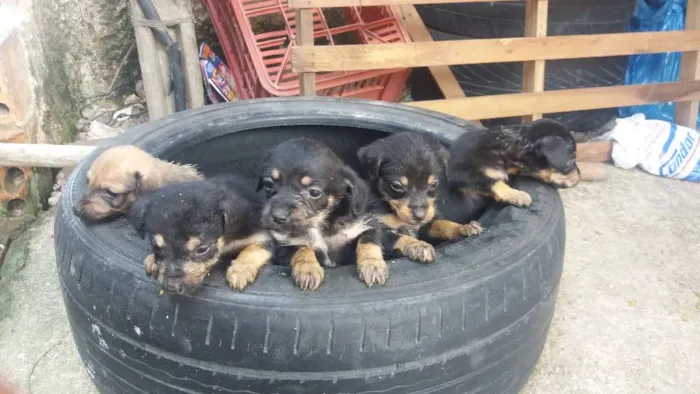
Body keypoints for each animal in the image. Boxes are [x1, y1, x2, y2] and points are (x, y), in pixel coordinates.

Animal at [129, 174, 274, 294]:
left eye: (202, 250)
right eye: (156, 246)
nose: (172, 287)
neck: (226, 239)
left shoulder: (264, 235)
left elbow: (253, 250)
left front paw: (240, 270)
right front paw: (152, 260)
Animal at [258, 139, 388, 290]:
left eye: (314, 192)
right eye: (268, 184)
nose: (278, 217)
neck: (318, 223)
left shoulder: (368, 224)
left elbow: (368, 243)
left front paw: (373, 266)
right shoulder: (284, 244)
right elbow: (301, 247)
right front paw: (307, 269)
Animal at [358, 132, 484, 264]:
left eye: (433, 184)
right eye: (396, 186)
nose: (419, 216)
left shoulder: (427, 223)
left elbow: (443, 224)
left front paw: (463, 227)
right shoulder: (382, 230)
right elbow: (401, 237)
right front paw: (418, 245)